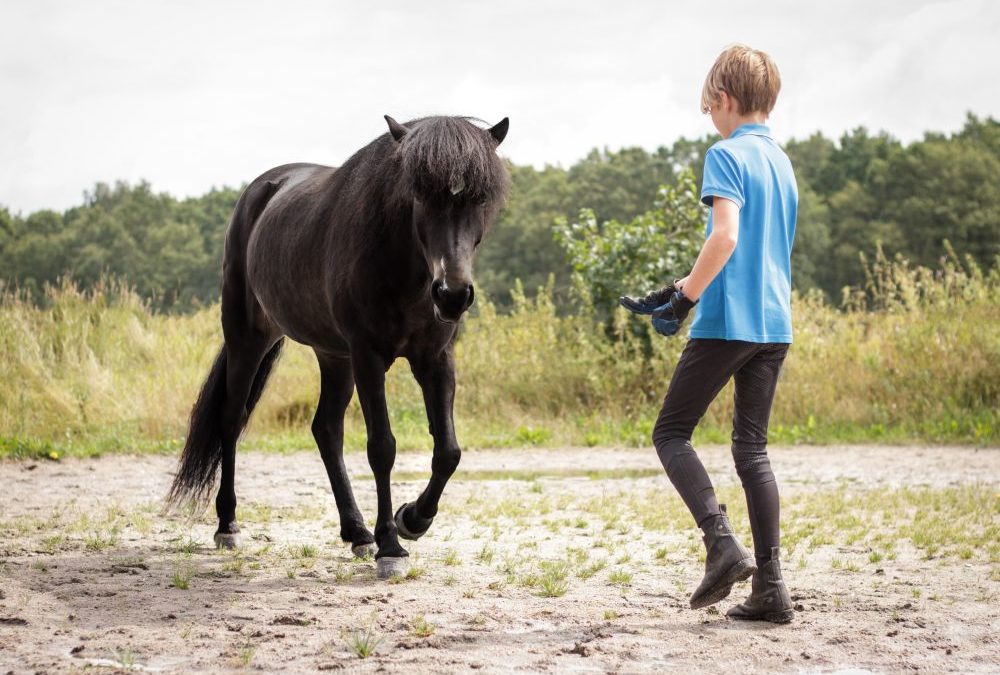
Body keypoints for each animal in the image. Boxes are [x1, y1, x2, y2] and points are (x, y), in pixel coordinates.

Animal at [166, 114, 510, 579]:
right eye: (420, 194)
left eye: (480, 197)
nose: (452, 295)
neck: (402, 266)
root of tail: (259, 192)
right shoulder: (368, 356)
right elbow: (382, 448)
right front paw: (390, 547)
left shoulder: (435, 360)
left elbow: (448, 451)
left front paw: (411, 520)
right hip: (248, 339)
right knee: (232, 420)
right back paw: (228, 525)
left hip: (333, 356)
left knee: (326, 429)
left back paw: (357, 532)